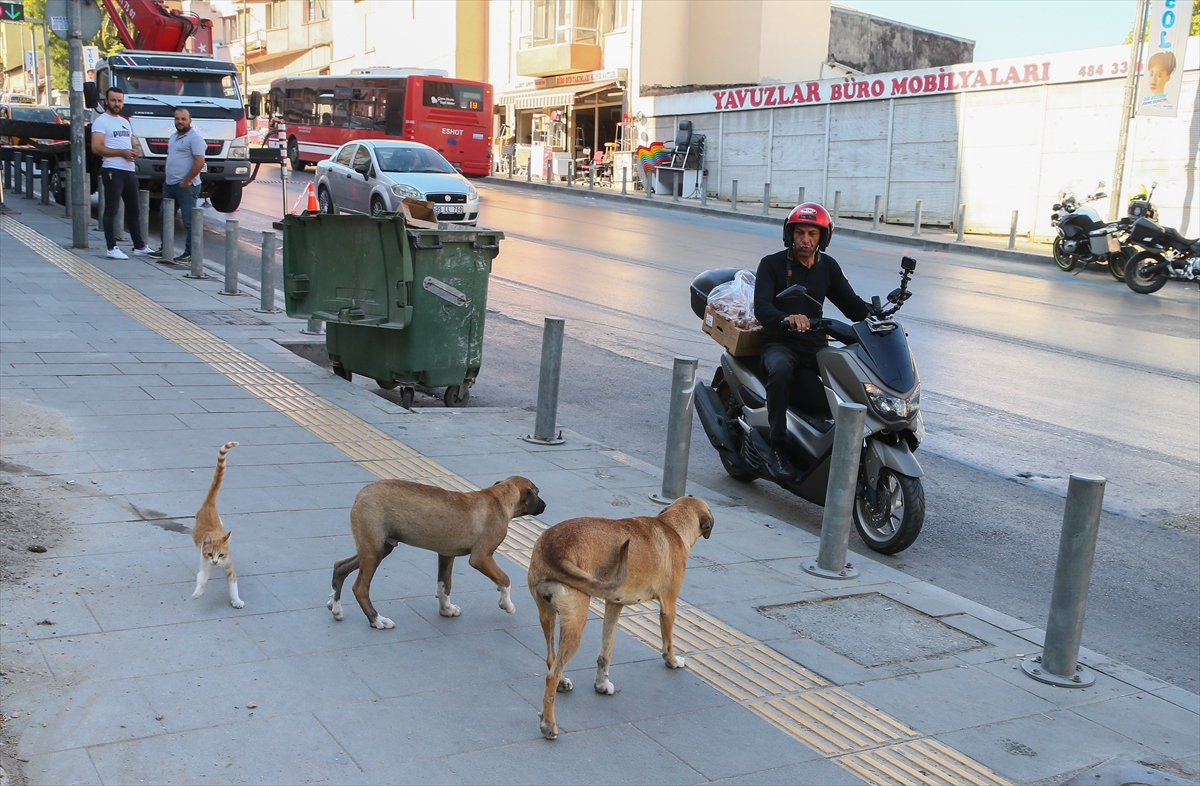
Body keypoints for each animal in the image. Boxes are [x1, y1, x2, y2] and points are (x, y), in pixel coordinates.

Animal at [192, 441, 243, 609]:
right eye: (210, 554)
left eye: (221, 555)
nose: (215, 562)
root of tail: (208, 505)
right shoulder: (204, 564)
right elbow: (201, 580)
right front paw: (197, 593)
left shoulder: (229, 567)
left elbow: (233, 586)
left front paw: (236, 600)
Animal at [328, 477, 544, 628]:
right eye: (537, 492)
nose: (545, 505)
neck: (498, 497)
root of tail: (361, 494)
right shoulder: (481, 558)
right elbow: (504, 579)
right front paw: (506, 604)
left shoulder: (446, 554)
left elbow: (444, 586)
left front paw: (446, 609)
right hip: (373, 551)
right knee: (360, 588)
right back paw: (377, 620)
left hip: (378, 547)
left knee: (340, 566)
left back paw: (335, 607)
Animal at [528, 501, 710, 739]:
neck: (671, 526)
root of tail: (554, 551)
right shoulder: (669, 607)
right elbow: (668, 642)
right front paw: (672, 661)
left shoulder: (614, 605)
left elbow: (606, 652)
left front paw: (602, 684)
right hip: (576, 624)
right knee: (551, 675)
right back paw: (549, 724)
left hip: (547, 614)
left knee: (551, 659)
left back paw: (562, 682)